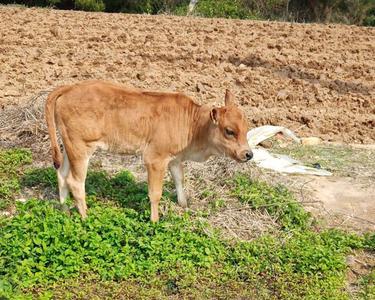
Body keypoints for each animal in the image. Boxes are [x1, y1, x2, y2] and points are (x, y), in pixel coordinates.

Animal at [46, 81, 253, 221]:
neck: (193, 125)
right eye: (229, 131)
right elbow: (155, 193)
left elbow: (180, 181)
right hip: (81, 147)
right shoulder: (155, 159)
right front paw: (155, 221)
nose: (248, 154)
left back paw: (65, 210)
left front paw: (184, 206)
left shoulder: (175, 159)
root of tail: (70, 87)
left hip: (69, 147)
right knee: (75, 182)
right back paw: (85, 217)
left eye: (246, 128)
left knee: (61, 175)